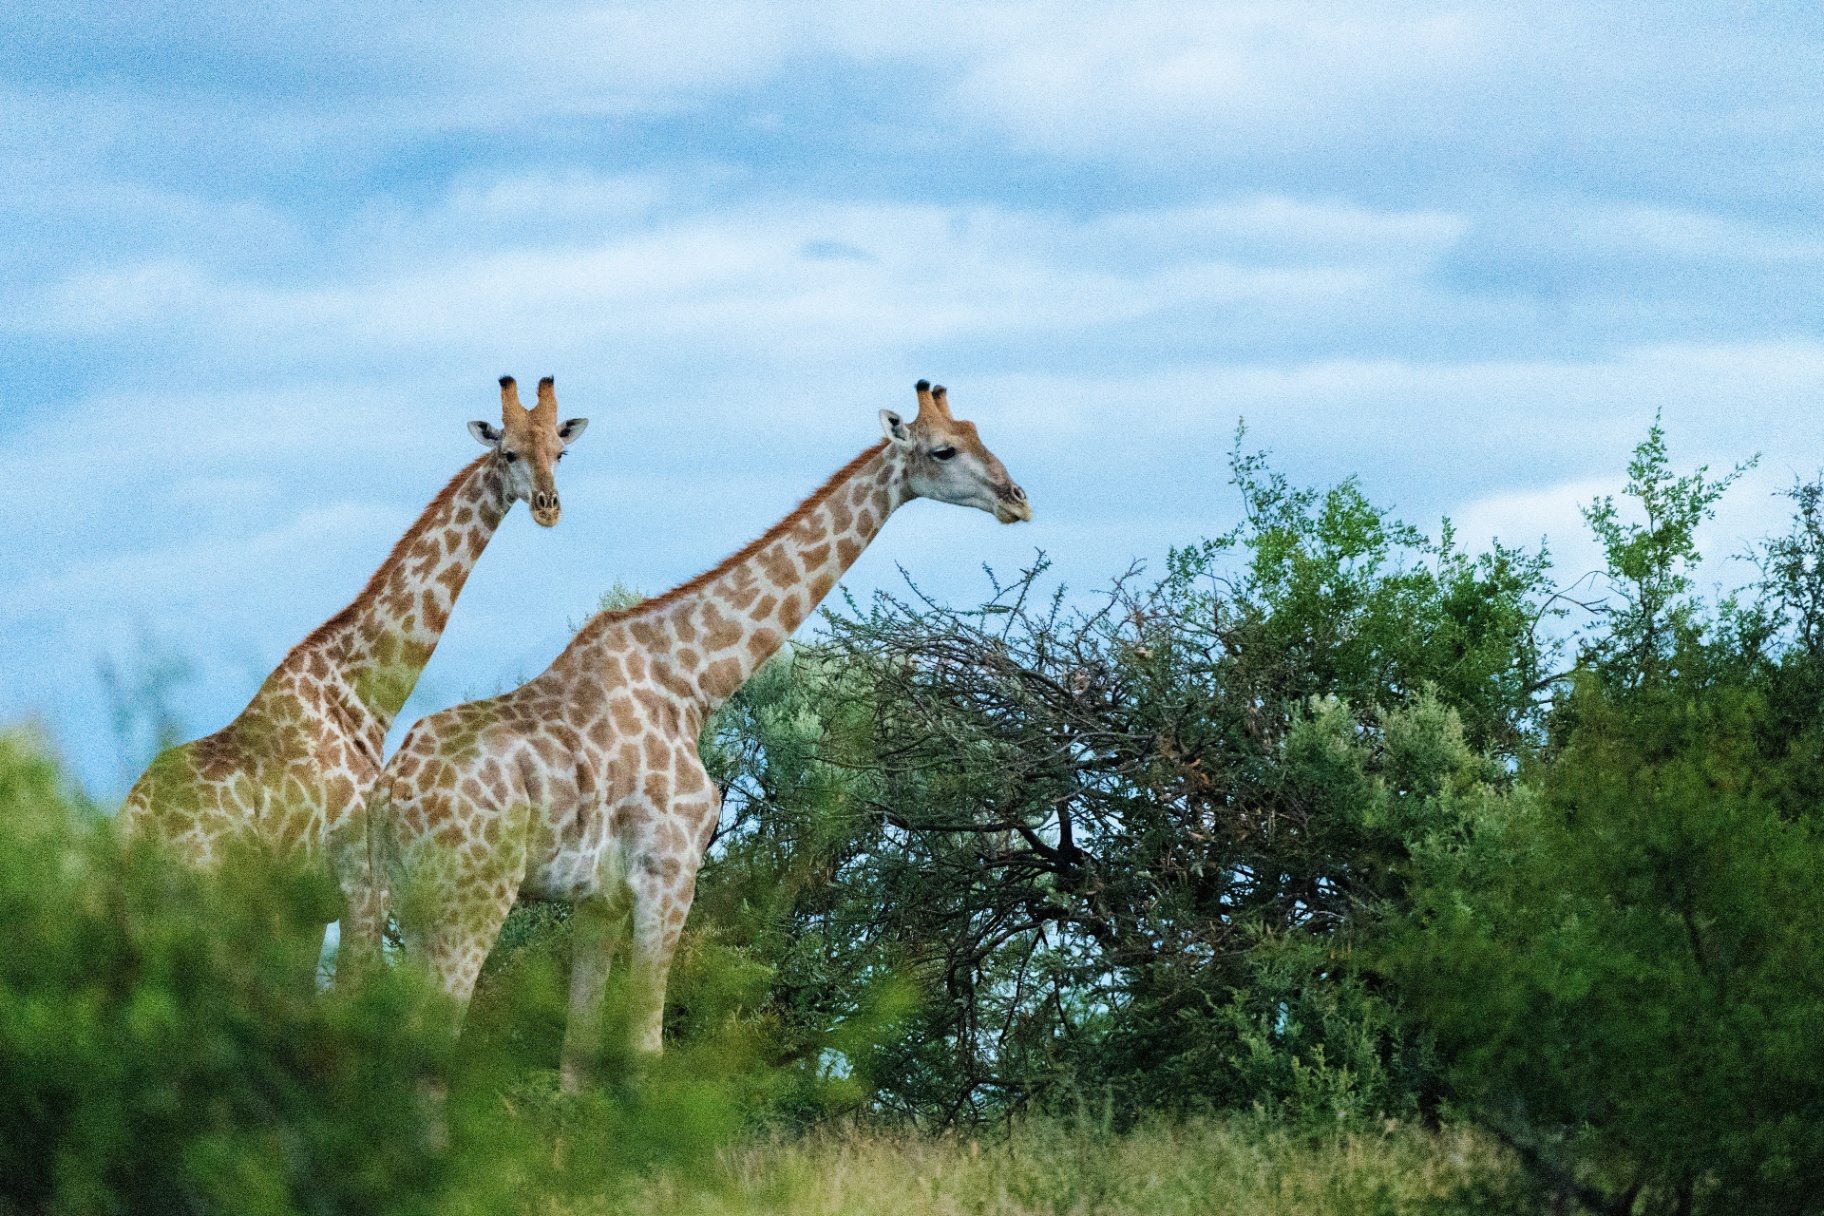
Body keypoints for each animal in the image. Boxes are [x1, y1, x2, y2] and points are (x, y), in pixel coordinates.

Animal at [120, 376, 588, 971]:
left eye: (560, 452)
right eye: (508, 453)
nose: (549, 507)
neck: (359, 698)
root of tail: (123, 832)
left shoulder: (311, 910)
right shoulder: (364, 888)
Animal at [373, 380, 1029, 1088]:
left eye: (978, 432)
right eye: (943, 450)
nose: (1017, 499)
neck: (691, 682)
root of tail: (390, 797)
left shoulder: (599, 898)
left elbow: (577, 1055)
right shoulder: (669, 872)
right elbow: (644, 1049)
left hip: (407, 903)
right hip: (473, 895)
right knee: (429, 1042)